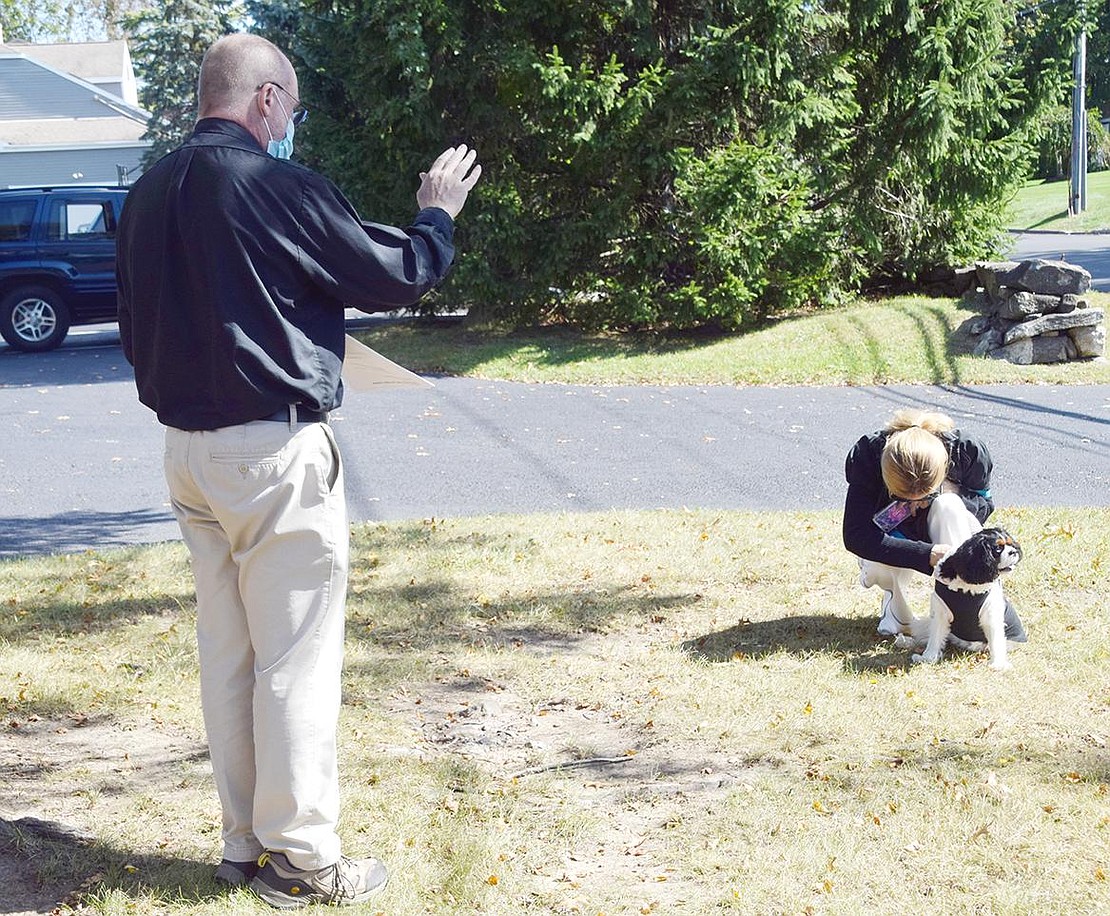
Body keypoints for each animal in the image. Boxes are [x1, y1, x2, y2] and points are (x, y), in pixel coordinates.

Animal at [892, 497, 1021, 666]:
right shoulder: (939, 612)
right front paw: (928, 658)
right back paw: (906, 642)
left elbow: (996, 640)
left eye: (1011, 544)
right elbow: (935, 638)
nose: (1014, 551)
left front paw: (998, 665)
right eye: (998, 549)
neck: (967, 586)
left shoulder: (992, 615)